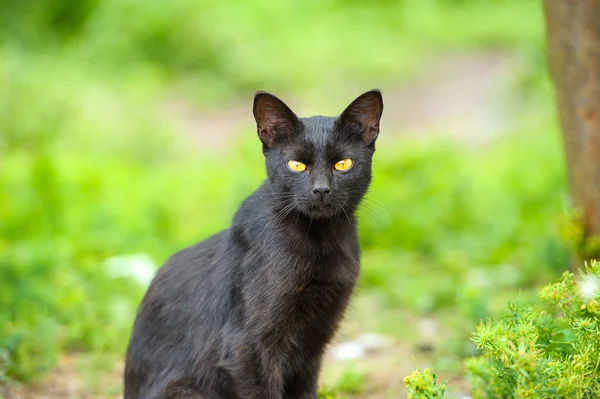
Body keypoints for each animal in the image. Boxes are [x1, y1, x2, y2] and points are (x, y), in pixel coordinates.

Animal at [125, 90, 384, 399]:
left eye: (343, 164)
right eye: (296, 165)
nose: (321, 189)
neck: (319, 242)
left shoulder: (314, 344)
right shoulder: (248, 346)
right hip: (185, 389)